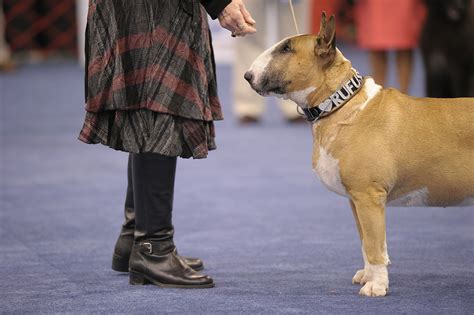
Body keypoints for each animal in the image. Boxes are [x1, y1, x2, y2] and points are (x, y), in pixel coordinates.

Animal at [244, 12, 474, 298]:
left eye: (286, 48)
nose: (247, 76)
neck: (340, 103)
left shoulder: (368, 196)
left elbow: (375, 246)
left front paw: (376, 286)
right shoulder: (356, 200)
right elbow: (366, 242)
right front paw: (368, 276)